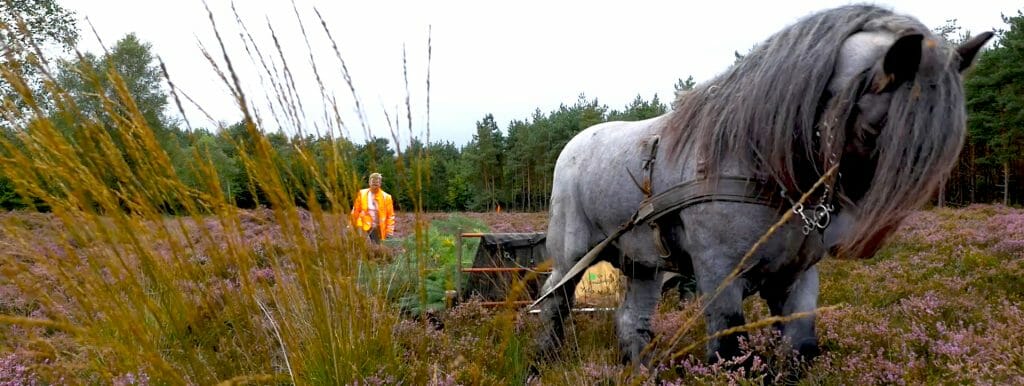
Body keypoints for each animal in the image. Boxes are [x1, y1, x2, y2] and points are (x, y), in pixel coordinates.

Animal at [536, 4, 991, 364]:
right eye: (873, 131)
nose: (857, 243)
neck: (757, 164)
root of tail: (574, 143)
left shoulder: (796, 277)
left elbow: (801, 348)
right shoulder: (718, 275)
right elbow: (730, 351)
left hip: (643, 263)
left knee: (633, 320)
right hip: (571, 253)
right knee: (554, 301)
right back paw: (542, 363)